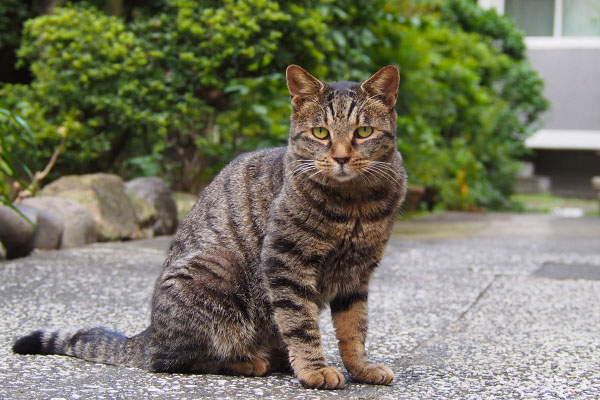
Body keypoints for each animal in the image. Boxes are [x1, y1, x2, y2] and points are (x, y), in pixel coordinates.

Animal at [12, 65, 408, 388]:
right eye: (321, 133)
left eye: (363, 131)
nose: (340, 157)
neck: (354, 206)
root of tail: (148, 335)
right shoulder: (286, 260)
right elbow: (301, 322)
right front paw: (314, 369)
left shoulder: (357, 272)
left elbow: (354, 327)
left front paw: (360, 367)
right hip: (217, 272)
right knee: (174, 360)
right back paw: (249, 361)